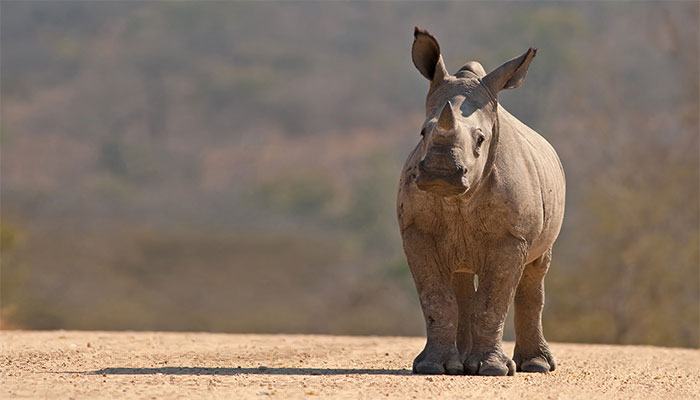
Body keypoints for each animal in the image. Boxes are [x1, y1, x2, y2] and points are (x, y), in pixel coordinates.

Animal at [396, 27, 568, 376]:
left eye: (481, 140)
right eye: (422, 133)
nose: (441, 173)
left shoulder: (511, 237)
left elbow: (493, 301)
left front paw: (493, 370)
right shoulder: (416, 231)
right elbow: (436, 298)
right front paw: (431, 366)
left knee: (535, 272)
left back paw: (536, 366)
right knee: (460, 278)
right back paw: (458, 365)